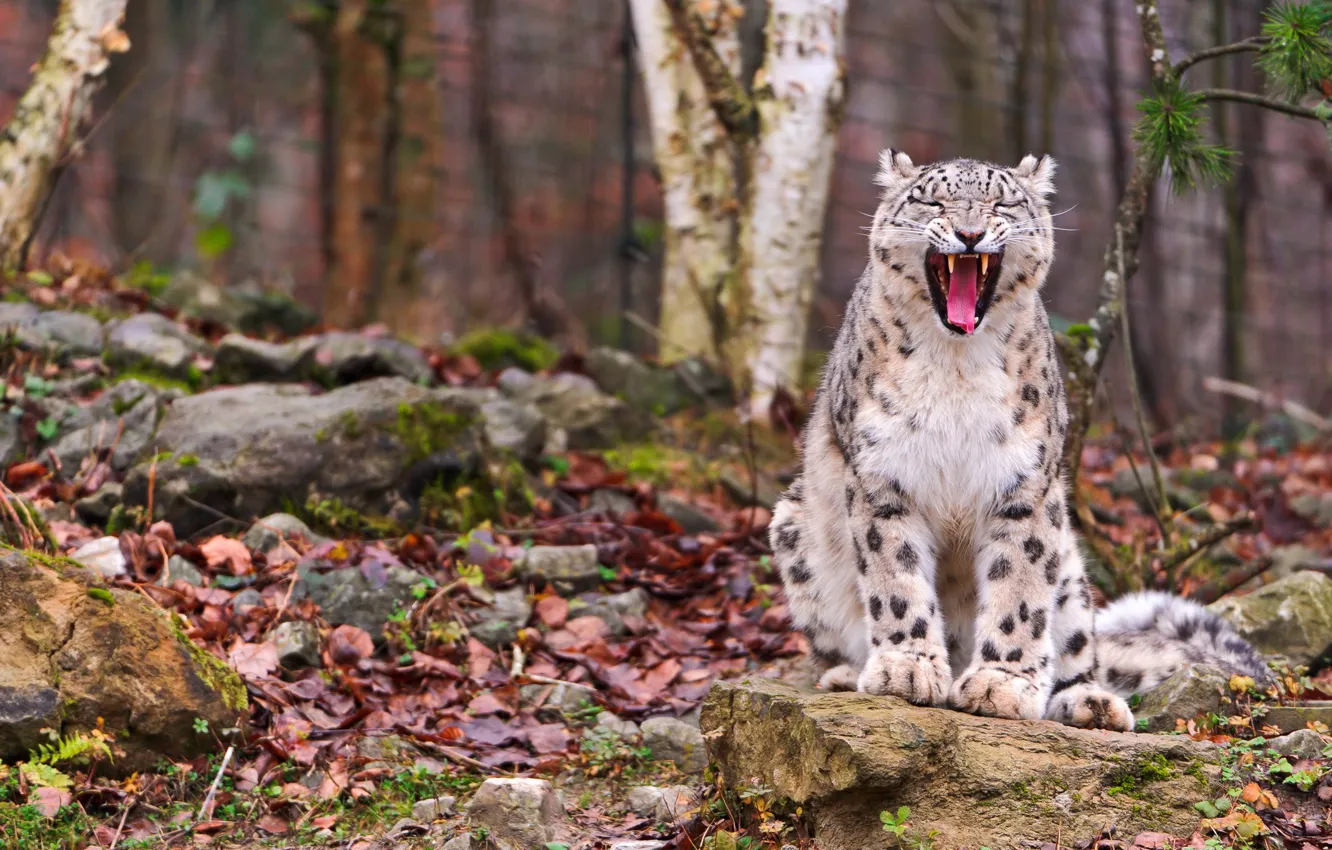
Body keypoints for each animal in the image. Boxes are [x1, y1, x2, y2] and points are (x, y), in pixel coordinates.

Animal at [768, 151, 1270, 730]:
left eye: (1002, 203)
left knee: (1078, 648)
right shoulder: (883, 477)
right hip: (794, 527)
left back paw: (1090, 703)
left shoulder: (1024, 484)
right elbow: (896, 578)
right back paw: (848, 674)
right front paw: (907, 669)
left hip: (1071, 569)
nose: (969, 233)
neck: (957, 364)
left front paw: (1001, 685)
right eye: (932, 200)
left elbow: (1020, 588)